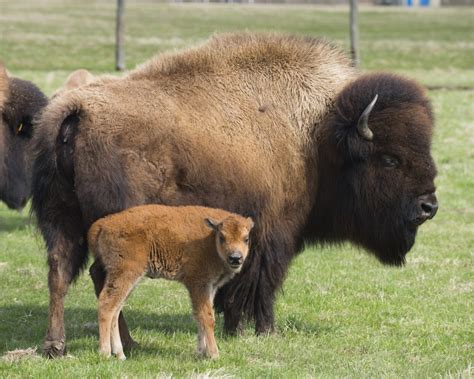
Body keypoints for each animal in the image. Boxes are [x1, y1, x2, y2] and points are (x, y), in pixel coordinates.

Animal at [87, 205, 254, 362]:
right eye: (222, 237)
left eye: (246, 238)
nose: (235, 258)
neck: (210, 239)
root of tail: (103, 224)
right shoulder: (198, 285)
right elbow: (207, 318)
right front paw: (214, 354)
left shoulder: (210, 287)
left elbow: (199, 317)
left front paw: (201, 352)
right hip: (125, 275)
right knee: (107, 305)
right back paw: (105, 353)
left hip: (129, 280)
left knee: (116, 310)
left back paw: (120, 354)